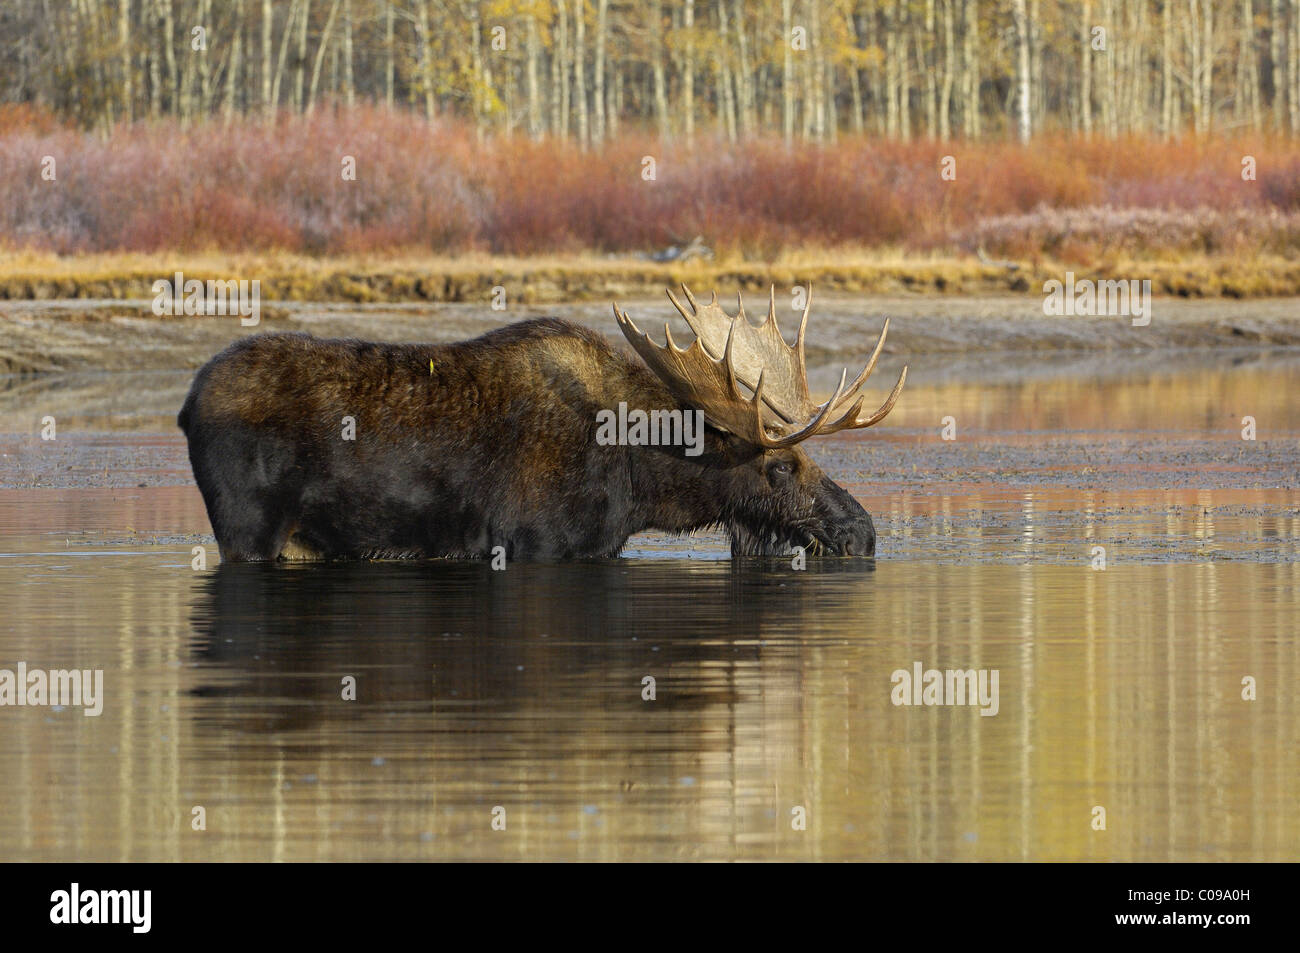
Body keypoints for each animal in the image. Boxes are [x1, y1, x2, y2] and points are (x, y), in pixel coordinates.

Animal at [178, 286, 909, 561]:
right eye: (781, 464)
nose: (863, 531)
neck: (642, 485)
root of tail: (185, 404)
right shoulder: (538, 543)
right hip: (249, 530)